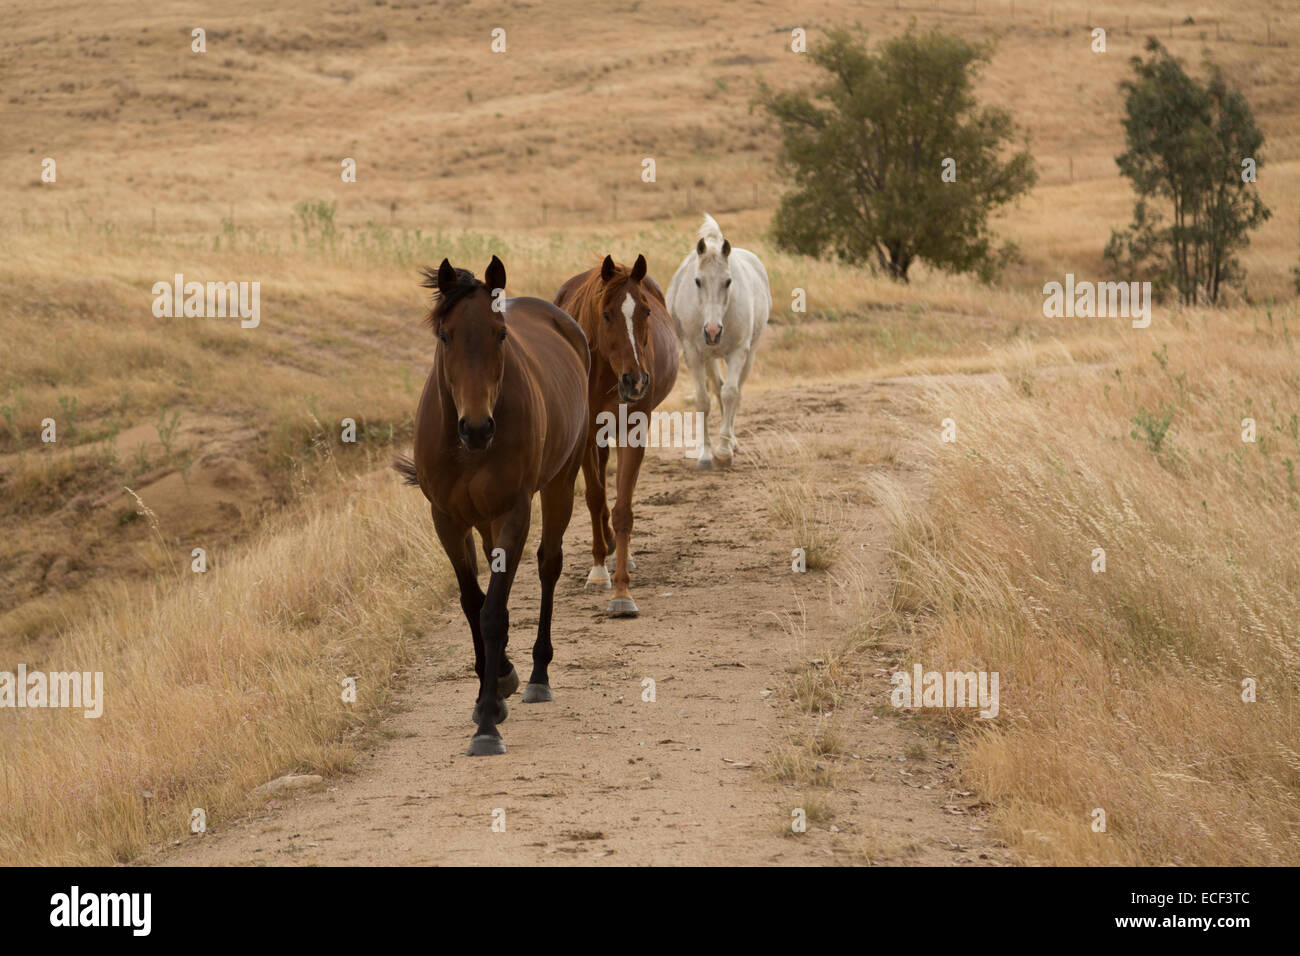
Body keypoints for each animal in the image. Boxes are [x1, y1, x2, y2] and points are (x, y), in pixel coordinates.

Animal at [395, 257, 590, 759]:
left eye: (501, 334)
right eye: (445, 336)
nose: (478, 428)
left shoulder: (513, 513)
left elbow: (494, 612)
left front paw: (486, 721)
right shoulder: (447, 519)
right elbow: (472, 602)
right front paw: (494, 686)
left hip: (560, 482)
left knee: (548, 564)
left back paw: (538, 674)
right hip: (482, 521)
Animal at [553, 254, 681, 616]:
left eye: (646, 312)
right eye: (607, 313)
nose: (635, 381)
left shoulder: (633, 431)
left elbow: (624, 508)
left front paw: (623, 592)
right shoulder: (585, 437)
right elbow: (595, 498)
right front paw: (598, 570)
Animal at [665, 215, 764, 470]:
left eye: (728, 281)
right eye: (697, 281)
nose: (712, 331)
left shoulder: (738, 352)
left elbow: (730, 393)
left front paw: (724, 451)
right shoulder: (693, 353)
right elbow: (703, 400)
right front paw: (706, 454)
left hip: (749, 354)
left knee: (735, 392)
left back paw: (732, 442)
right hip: (709, 358)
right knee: (716, 388)